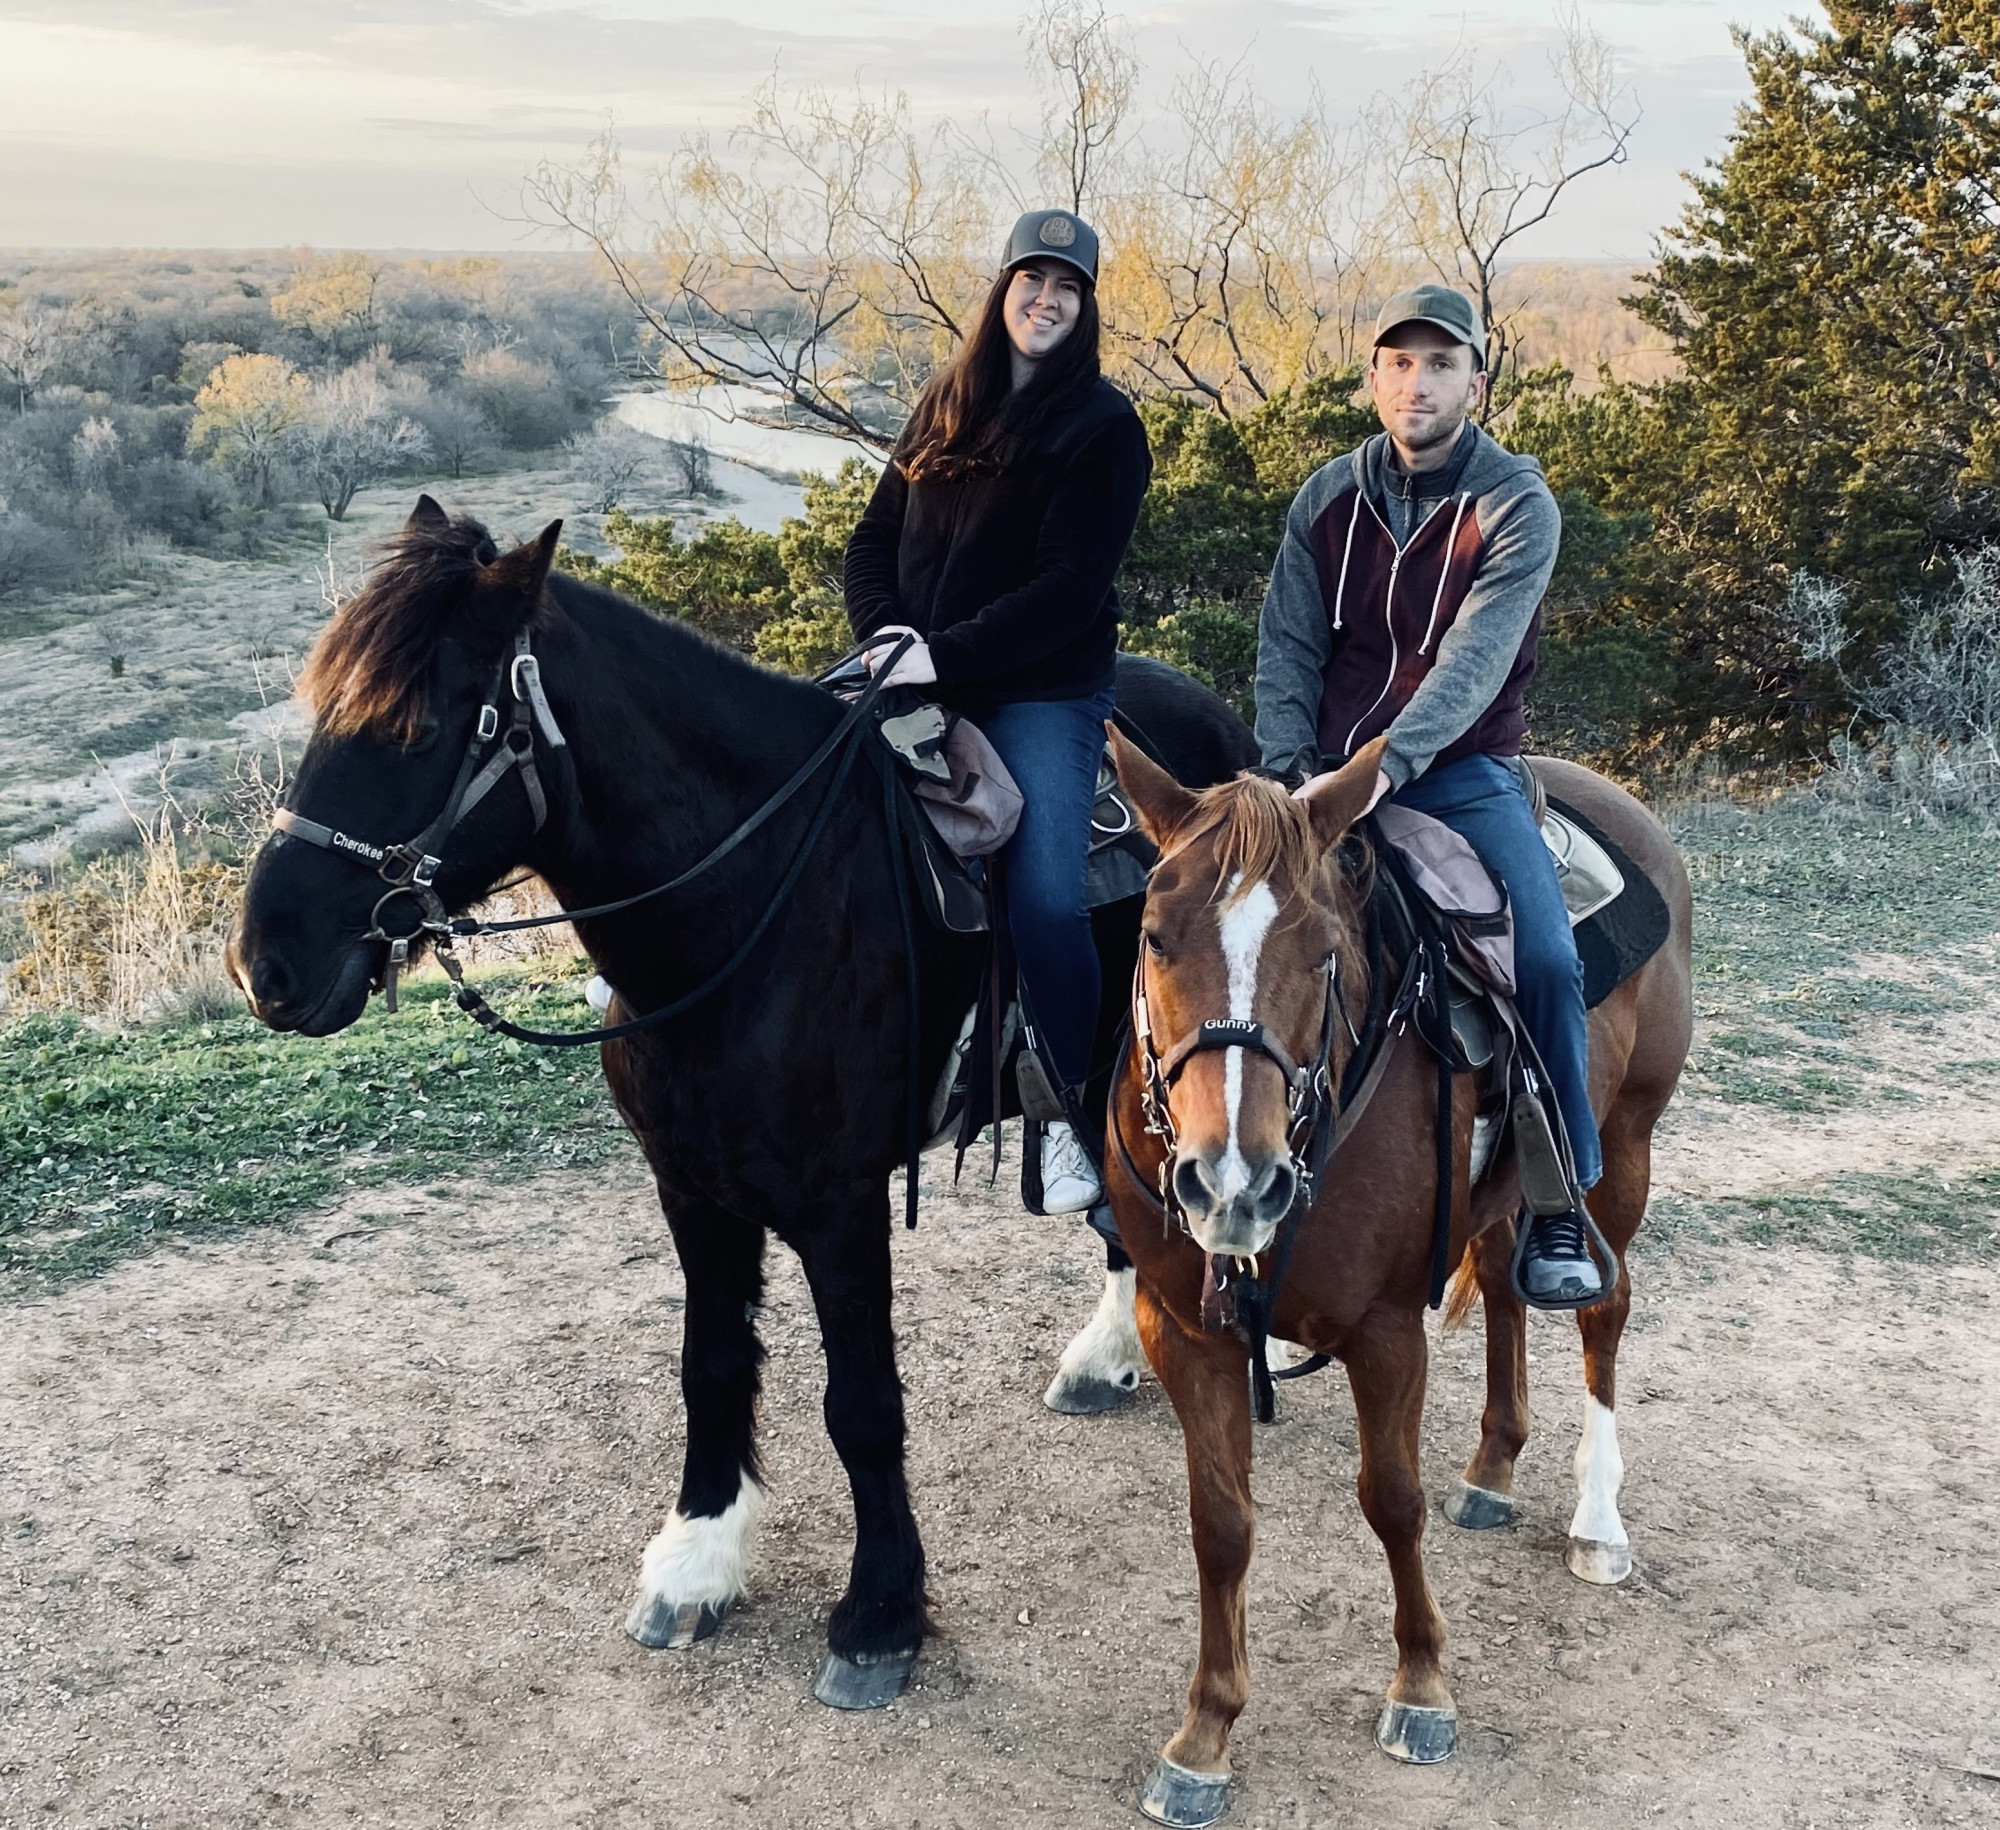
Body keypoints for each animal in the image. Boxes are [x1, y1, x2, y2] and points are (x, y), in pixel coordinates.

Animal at [223, 498, 1248, 1704]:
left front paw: (878, 1614)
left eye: (420, 728)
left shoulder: (841, 1208)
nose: (265, 962)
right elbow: (708, 1366)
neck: (753, 903)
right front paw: (696, 1559)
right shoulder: (692, 1191)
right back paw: (1109, 1354)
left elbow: (862, 1405)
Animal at [1112, 732, 1688, 1830]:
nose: (1230, 1180)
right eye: (1155, 936)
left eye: (1322, 951)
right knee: (1505, 1285)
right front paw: (1205, 1734)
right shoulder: (1182, 1330)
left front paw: (1421, 1686)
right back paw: (1494, 1467)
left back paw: (1597, 1521)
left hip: (1625, 1148)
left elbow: (1391, 1499)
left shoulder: (1384, 1331)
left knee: (1603, 1309)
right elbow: (1220, 1525)